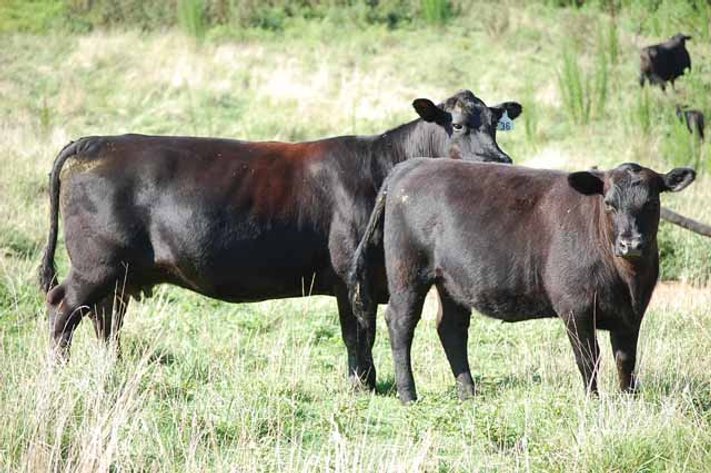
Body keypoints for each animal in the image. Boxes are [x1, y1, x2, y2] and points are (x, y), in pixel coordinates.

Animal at [39, 90, 522, 390]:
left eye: (493, 124)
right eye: (456, 125)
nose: (499, 161)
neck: (382, 168)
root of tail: (97, 141)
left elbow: (357, 333)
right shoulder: (354, 276)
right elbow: (358, 333)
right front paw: (364, 385)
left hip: (118, 275)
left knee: (105, 319)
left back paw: (111, 371)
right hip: (95, 265)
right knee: (63, 310)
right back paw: (59, 375)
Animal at [349, 160, 695, 403]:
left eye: (652, 203)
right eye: (609, 203)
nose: (630, 243)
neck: (627, 280)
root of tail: (410, 165)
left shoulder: (631, 314)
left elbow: (626, 360)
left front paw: (629, 400)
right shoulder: (576, 307)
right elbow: (588, 358)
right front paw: (593, 401)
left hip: (450, 281)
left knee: (450, 328)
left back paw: (468, 392)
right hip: (408, 271)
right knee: (401, 323)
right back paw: (408, 394)